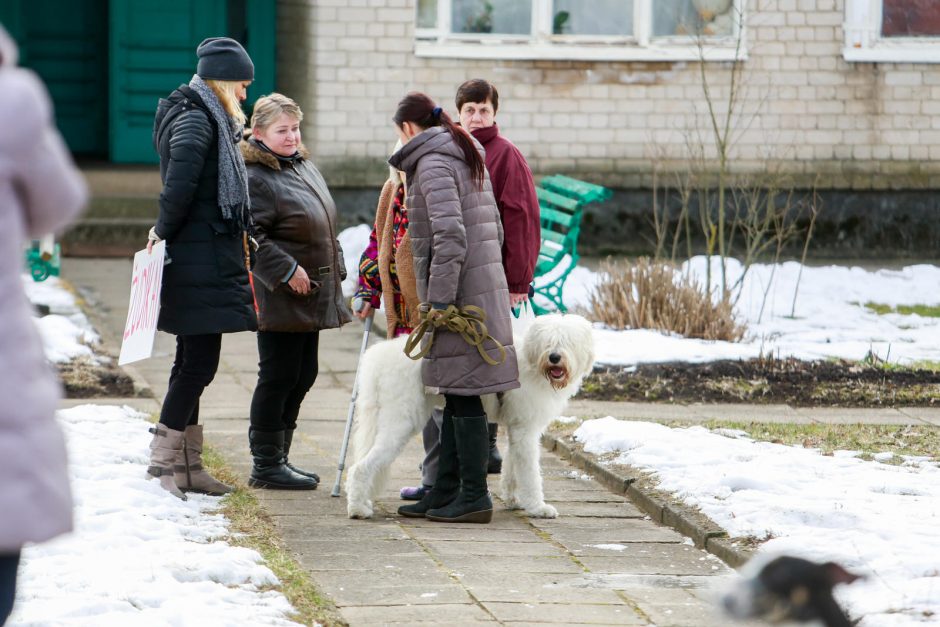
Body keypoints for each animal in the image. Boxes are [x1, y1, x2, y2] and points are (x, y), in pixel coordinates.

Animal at [346, 312, 596, 520]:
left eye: (568, 341)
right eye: (548, 341)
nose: (554, 357)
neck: (534, 366)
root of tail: (377, 357)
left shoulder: (518, 428)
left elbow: (513, 466)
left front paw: (513, 499)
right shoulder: (526, 429)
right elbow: (529, 473)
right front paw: (538, 508)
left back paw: (364, 503)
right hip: (400, 421)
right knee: (360, 467)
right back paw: (358, 510)